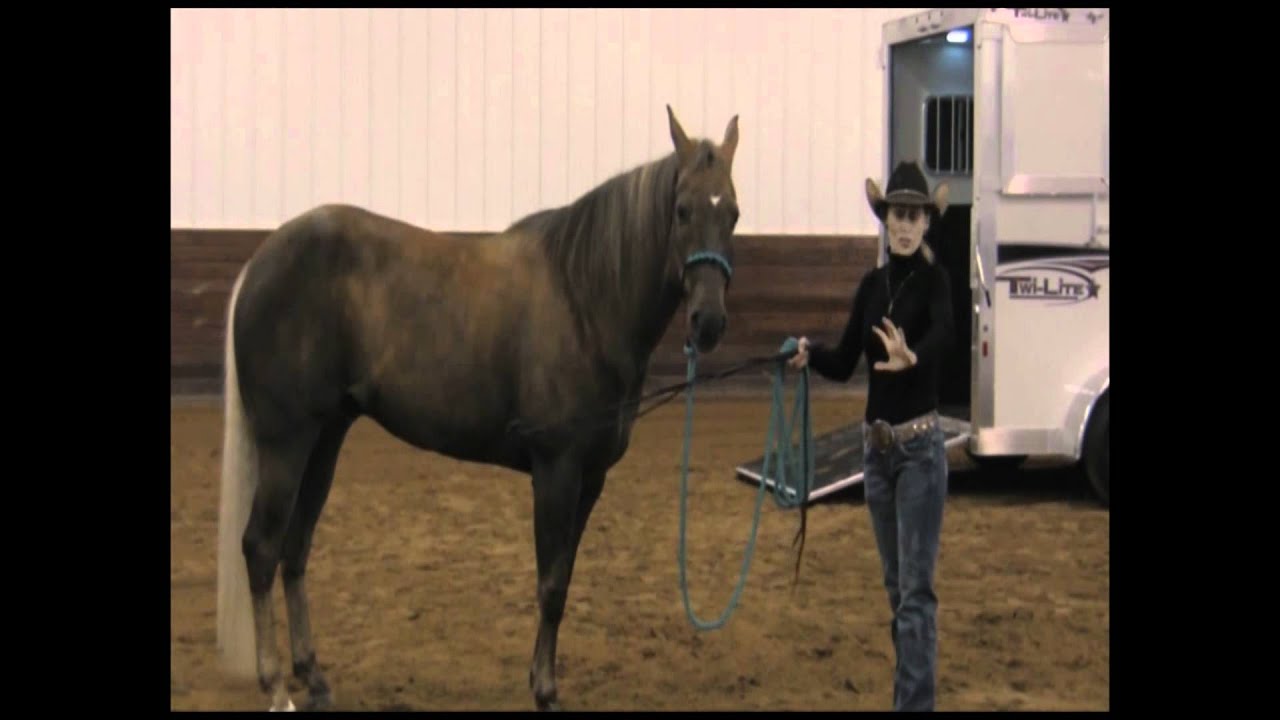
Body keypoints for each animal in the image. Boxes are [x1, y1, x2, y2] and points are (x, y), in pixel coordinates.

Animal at [215, 105, 742, 711]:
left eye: (733, 212)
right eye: (681, 211)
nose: (708, 322)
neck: (585, 300)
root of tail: (260, 262)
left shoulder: (590, 480)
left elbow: (564, 577)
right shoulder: (555, 470)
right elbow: (550, 585)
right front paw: (545, 691)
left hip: (325, 438)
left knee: (294, 548)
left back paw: (314, 676)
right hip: (287, 442)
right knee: (260, 547)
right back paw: (277, 686)